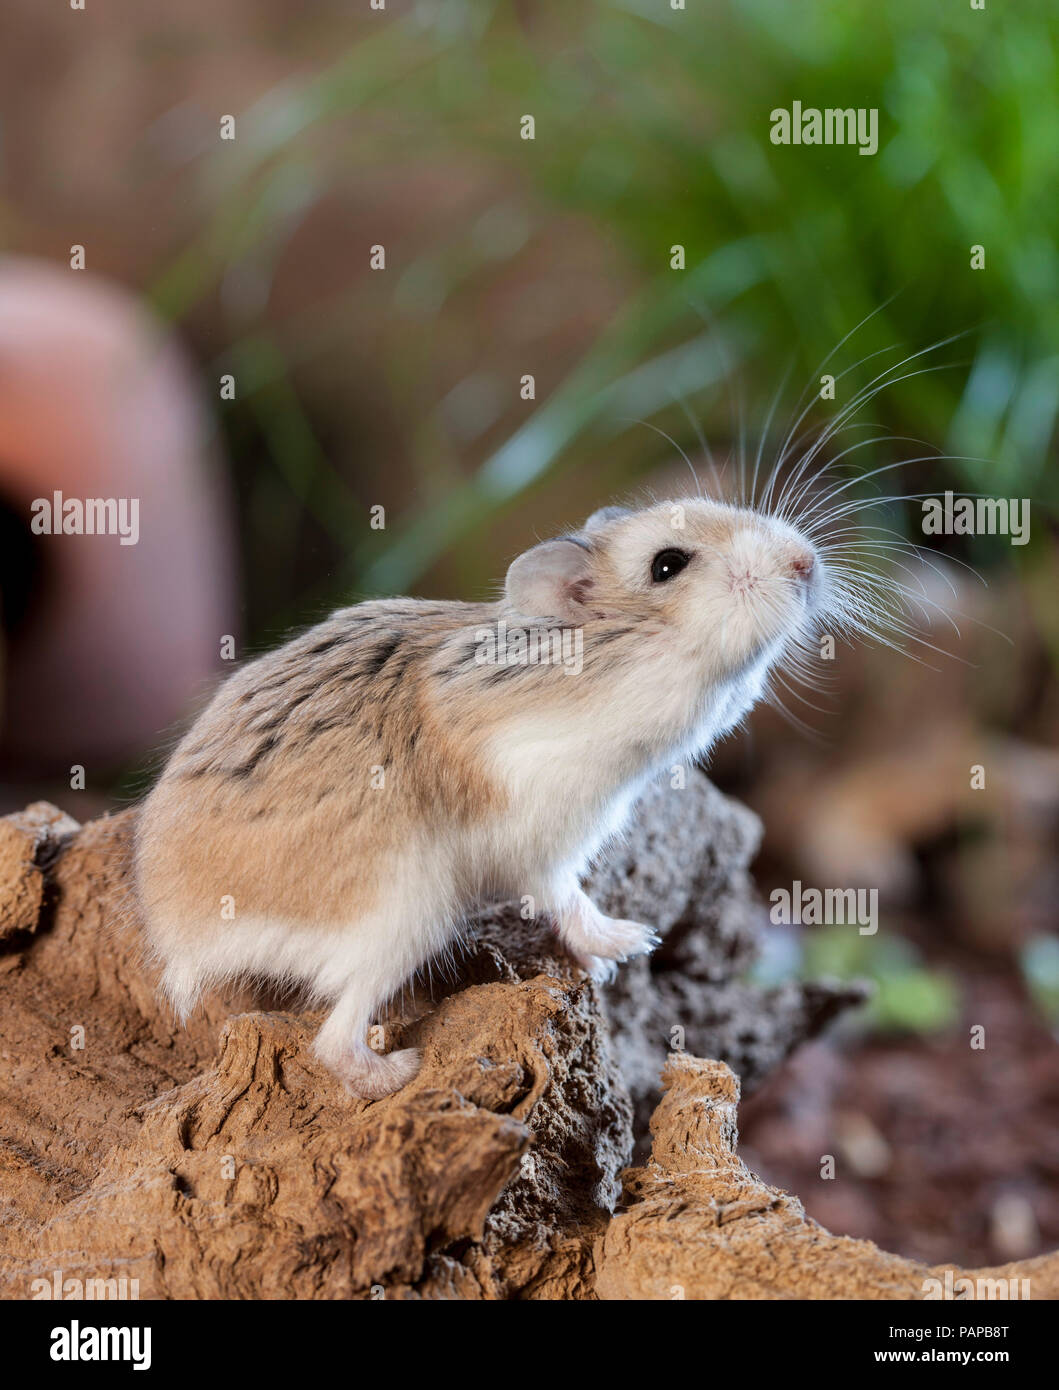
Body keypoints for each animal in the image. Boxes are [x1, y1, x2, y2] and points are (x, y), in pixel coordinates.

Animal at [132, 500, 822, 1095]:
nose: (806, 564)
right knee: (331, 1040)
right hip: (403, 913)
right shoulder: (544, 835)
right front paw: (629, 944)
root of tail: (179, 931)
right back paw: (398, 1072)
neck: (606, 668)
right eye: (668, 564)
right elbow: (567, 897)